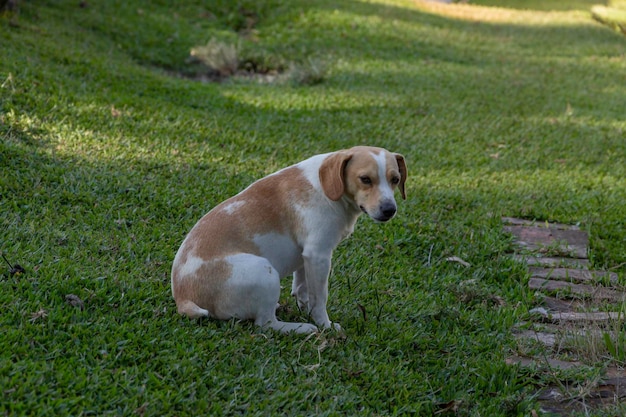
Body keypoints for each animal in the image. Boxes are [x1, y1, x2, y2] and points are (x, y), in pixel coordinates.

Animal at [169, 145, 404, 334]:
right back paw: (301, 328)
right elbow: (320, 297)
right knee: (265, 324)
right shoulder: (319, 255)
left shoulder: (305, 256)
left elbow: (303, 290)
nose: (389, 210)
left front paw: (306, 310)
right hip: (264, 270)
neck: (325, 185)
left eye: (396, 179)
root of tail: (183, 299)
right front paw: (324, 325)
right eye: (365, 179)